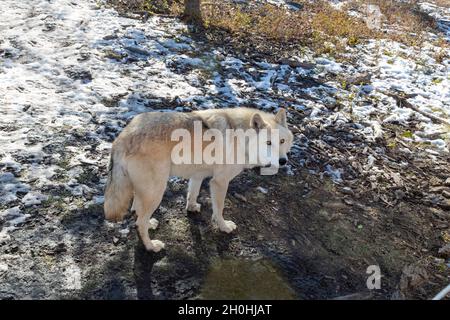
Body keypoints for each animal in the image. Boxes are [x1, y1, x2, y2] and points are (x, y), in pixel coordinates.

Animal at [104, 108, 296, 252]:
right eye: (268, 143)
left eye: (282, 141)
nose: (283, 161)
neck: (242, 137)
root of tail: (122, 137)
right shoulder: (219, 182)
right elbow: (219, 210)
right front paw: (224, 227)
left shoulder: (198, 175)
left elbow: (193, 194)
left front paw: (192, 208)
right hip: (156, 192)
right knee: (139, 223)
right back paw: (151, 246)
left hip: (146, 191)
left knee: (137, 210)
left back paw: (151, 223)